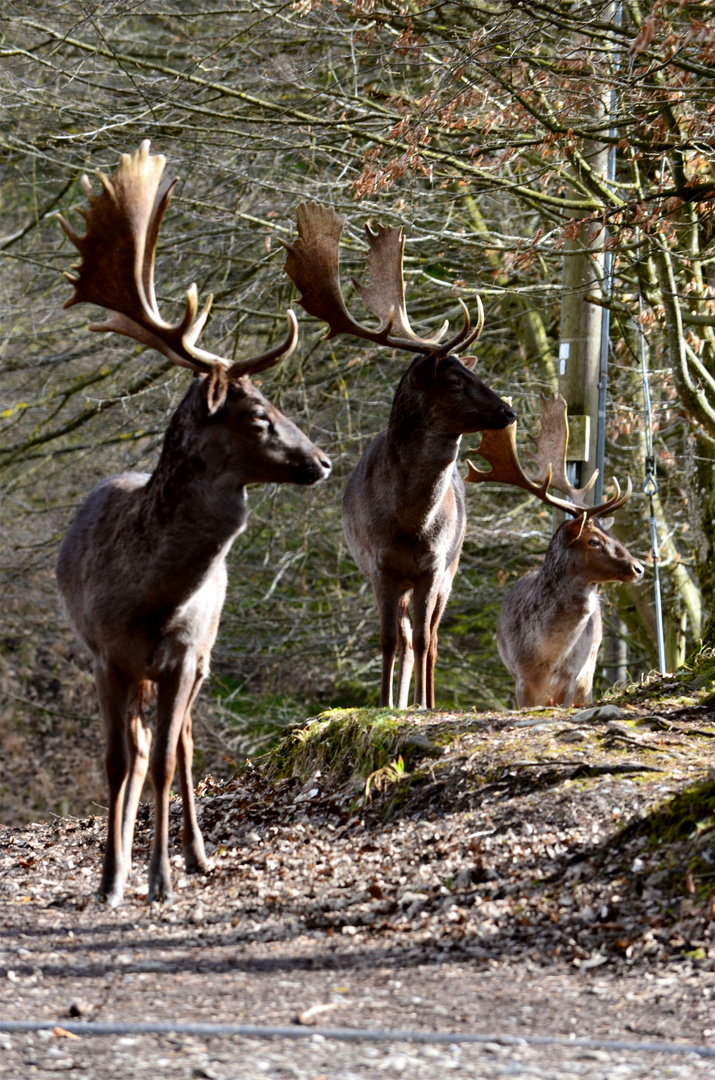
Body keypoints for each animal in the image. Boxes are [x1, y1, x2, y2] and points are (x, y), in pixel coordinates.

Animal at [56, 141, 332, 902]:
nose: (323, 460)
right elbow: (118, 762)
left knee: (177, 749)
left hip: (205, 655)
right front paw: (110, 879)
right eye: (260, 415)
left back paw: (197, 855)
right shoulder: (105, 653)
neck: (150, 596)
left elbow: (160, 762)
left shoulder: (184, 653)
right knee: (144, 745)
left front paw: (159, 879)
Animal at [282, 203, 518, 708]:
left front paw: (426, 705)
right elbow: (389, 638)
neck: (410, 524)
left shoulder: (434, 566)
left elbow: (427, 640)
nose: (508, 411)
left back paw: (421, 699)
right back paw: (399, 700)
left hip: (452, 570)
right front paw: (383, 703)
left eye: (472, 372)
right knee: (407, 636)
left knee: (429, 637)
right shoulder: (379, 564)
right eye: (455, 379)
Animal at [468, 397, 648, 708]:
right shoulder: (521, 680)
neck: (545, 658)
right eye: (593, 540)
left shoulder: (572, 676)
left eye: (610, 534)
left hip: (590, 668)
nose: (638, 567)